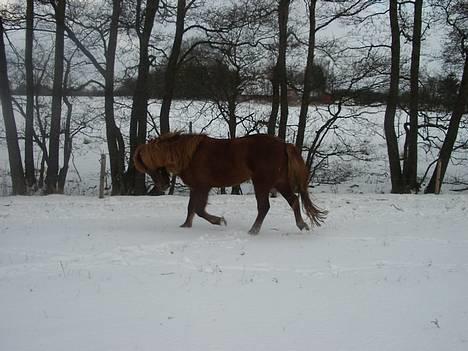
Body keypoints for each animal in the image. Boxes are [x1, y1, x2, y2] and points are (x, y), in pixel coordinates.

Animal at [133, 133, 328, 235]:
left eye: (148, 167)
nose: (163, 186)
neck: (188, 155)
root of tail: (283, 144)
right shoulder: (196, 188)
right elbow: (191, 209)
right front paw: (186, 226)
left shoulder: (203, 186)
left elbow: (199, 209)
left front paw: (219, 221)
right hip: (280, 182)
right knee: (294, 201)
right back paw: (302, 225)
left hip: (261, 183)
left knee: (264, 206)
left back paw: (253, 230)